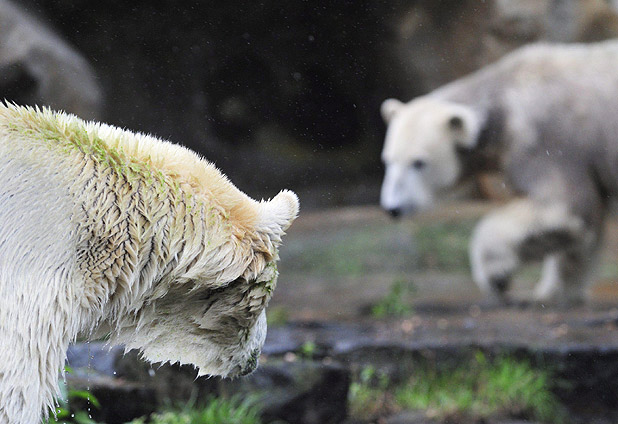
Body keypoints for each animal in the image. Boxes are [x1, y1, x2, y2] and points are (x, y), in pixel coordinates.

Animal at [380, 39, 618, 305]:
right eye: (387, 160)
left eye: (418, 163)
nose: (393, 208)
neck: (504, 102)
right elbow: (583, 228)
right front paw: (555, 292)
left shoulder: (548, 141)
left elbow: (563, 205)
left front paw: (497, 276)